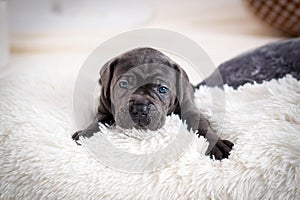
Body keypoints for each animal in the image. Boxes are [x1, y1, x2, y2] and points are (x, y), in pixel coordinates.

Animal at [73, 47, 234, 159]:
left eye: (162, 89)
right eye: (123, 84)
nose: (140, 107)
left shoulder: (191, 111)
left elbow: (203, 126)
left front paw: (217, 144)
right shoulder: (104, 110)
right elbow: (97, 122)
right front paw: (84, 134)